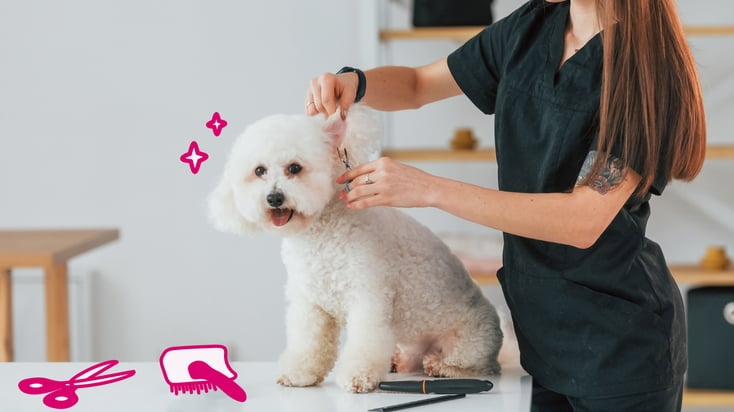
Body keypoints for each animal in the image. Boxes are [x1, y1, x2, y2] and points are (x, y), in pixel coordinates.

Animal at [210, 104, 504, 392]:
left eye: (294, 168)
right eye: (259, 171)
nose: (274, 198)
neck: (322, 234)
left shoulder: (368, 297)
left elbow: (365, 342)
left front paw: (358, 377)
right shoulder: (310, 303)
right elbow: (308, 343)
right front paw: (300, 373)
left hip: (470, 341)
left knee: (482, 366)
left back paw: (443, 367)